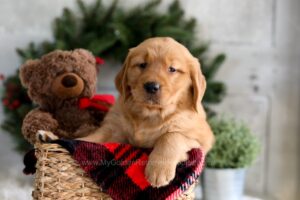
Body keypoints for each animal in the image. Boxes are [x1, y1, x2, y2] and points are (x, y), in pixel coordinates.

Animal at [81, 37, 214, 188]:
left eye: (172, 69)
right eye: (142, 65)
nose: (151, 86)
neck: (150, 114)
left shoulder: (202, 139)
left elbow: (171, 136)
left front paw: (159, 170)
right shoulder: (114, 127)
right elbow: (96, 137)